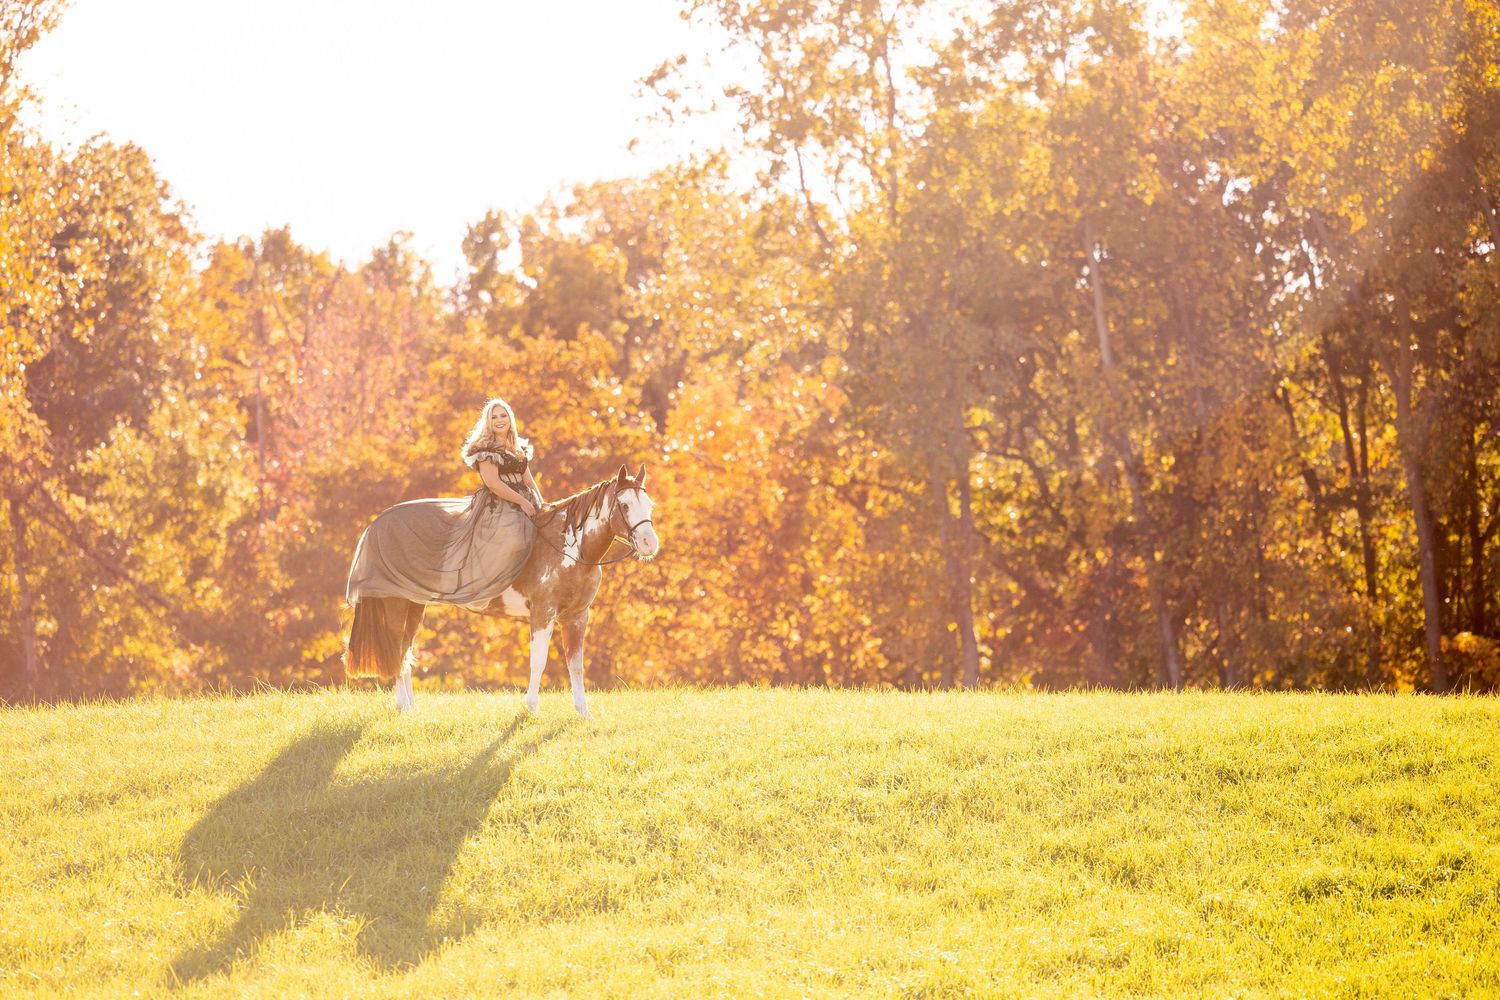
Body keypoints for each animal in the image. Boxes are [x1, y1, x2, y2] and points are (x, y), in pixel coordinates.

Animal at [344, 464, 658, 718]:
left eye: (649, 505)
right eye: (624, 504)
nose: (649, 544)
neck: (570, 548)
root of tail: (375, 526)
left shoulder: (577, 616)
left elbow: (576, 664)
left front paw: (582, 712)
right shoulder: (543, 613)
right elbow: (539, 661)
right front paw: (532, 708)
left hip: (414, 605)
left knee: (404, 652)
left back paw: (409, 706)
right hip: (395, 606)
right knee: (396, 651)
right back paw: (402, 705)